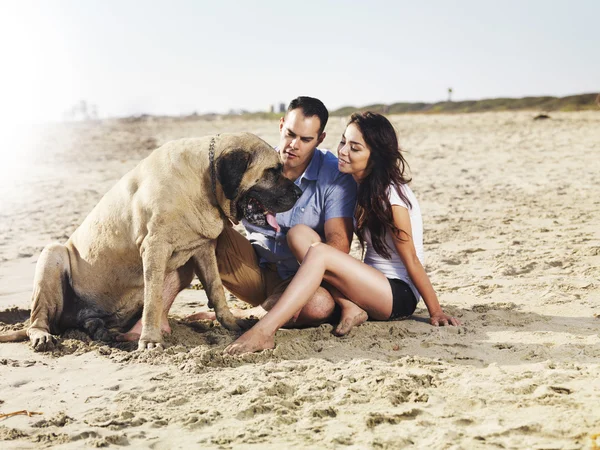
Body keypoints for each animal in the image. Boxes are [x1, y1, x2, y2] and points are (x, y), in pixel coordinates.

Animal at [0, 133, 300, 352]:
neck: (203, 181)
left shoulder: (203, 248)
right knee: (37, 318)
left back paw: (98, 328)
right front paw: (151, 341)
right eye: (273, 171)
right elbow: (153, 299)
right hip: (53, 255)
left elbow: (215, 289)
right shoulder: (155, 248)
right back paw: (42, 335)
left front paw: (230, 323)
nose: (298, 192)